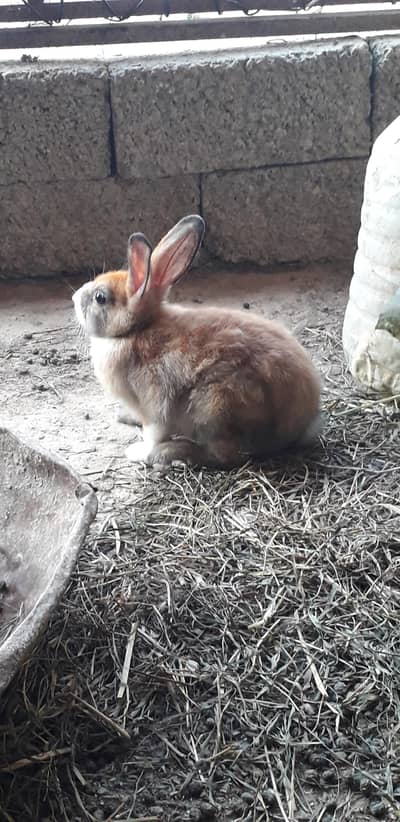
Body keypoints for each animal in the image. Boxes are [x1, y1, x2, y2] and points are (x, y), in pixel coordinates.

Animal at [73, 215, 321, 468]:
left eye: (100, 298)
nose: (74, 297)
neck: (135, 329)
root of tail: (300, 423)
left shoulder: (154, 406)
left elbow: (153, 434)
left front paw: (139, 452)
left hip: (214, 407)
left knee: (225, 455)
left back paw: (171, 452)